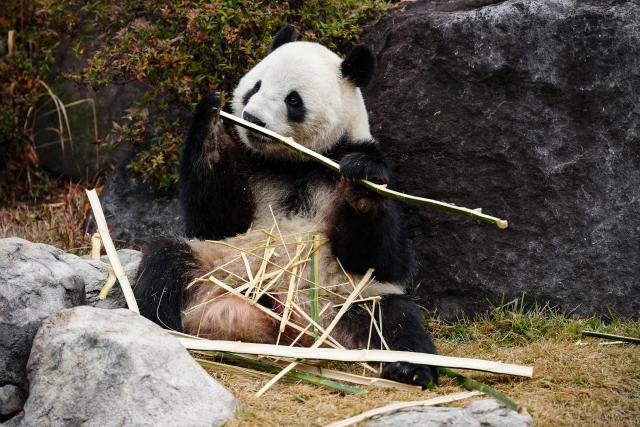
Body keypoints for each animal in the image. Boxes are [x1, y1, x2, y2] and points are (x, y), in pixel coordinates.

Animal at [134, 26, 439, 387]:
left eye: (293, 100)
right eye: (255, 86)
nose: (252, 118)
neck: (293, 163)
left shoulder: (348, 159)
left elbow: (384, 258)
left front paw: (361, 181)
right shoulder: (250, 167)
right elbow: (216, 221)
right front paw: (211, 119)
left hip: (348, 297)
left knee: (395, 320)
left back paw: (409, 368)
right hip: (216, 267)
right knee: (164, 265)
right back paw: (165, 328)